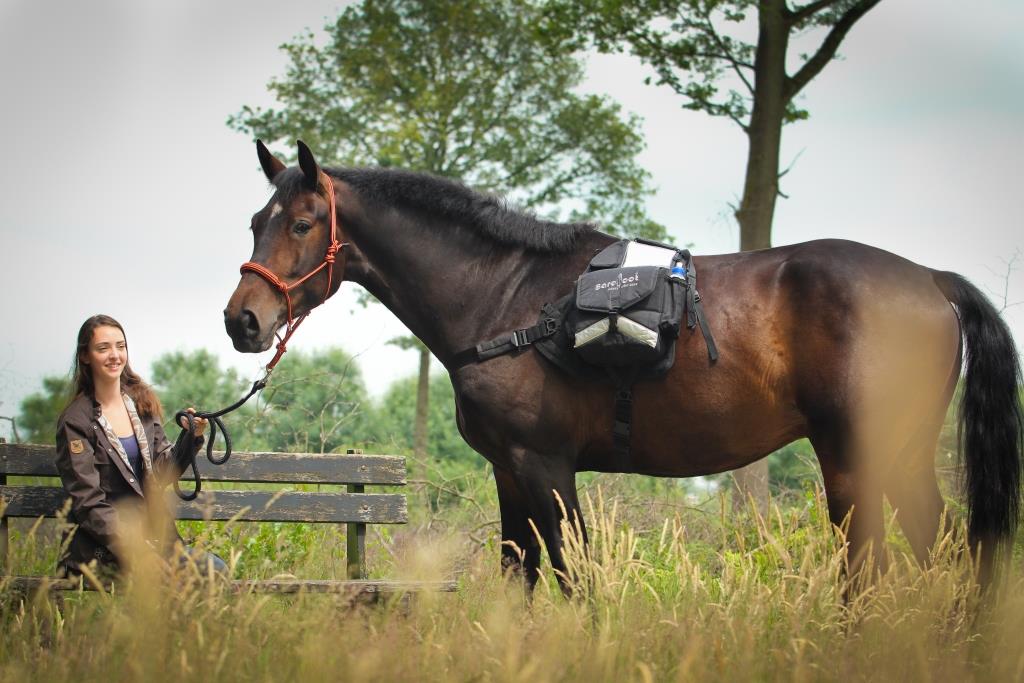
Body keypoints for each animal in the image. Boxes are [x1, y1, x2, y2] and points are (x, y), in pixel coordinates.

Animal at [226, 141, 1024, 589]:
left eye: (302, 223)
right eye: (256, 221)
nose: (243, 320)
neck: (507, 299)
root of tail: (930, 279)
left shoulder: (546, 465)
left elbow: (575, 579)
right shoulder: (509, 472)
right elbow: (519, 579)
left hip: (854, 459)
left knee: (873, 570)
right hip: (903, 456)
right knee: (943, 555)